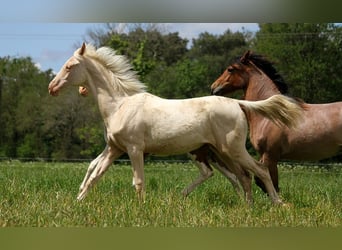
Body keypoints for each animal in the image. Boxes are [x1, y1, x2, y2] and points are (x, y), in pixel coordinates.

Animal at [47, 43, 302, 205]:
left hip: (233, 150)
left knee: (259, 170)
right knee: (243, 177)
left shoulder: (134, 149)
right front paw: (77, 202)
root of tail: (238, 103)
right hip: (222, 152)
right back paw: (247, 208)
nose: (52, 87)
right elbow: (95, 173)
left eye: (70, 66)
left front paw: (141, 209)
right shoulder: (114, 148)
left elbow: (138, 181)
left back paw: (278, 203)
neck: (120, 104)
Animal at [211, 49, 342, 192]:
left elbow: (272, 184)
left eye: (230, 69)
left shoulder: (270, 156)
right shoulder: (264, 156)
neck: (268, 113)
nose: (213, 88)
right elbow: (261, 181)